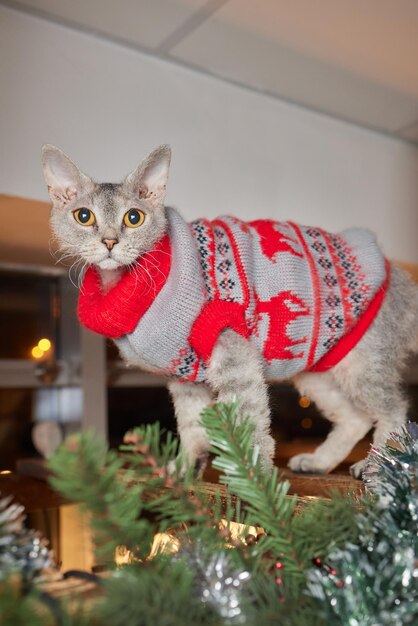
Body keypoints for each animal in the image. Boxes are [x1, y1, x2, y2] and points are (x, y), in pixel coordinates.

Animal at [41, 144, 418, 476]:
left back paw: (378, 466)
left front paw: (257, 482)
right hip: (319, 369)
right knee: (356, 417)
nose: (109, 241)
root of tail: (400, 278)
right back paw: (319, 461)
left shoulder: (232, 351)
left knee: (394, 410)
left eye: (134, 217)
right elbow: (191, 427)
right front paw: (184, 470)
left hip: (364, 363)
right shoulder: (183, 376)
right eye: (83, 216)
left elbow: (250, 419)